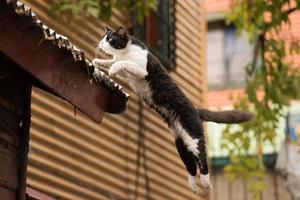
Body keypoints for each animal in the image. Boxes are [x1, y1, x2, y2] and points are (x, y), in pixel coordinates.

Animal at [92, 25, 252, 193]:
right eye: (103, 37)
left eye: (110, 39)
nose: (100, 43)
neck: (125, 51)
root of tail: (195, 109)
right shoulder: (127, 75)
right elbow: (113, 62)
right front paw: (98, 61)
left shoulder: (141, 69)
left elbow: (122, 63)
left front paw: (111, 68)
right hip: (180, 142)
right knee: (190, 164)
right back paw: (193, 187)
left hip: (192, 135)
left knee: (201, 157)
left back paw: (206, 183)